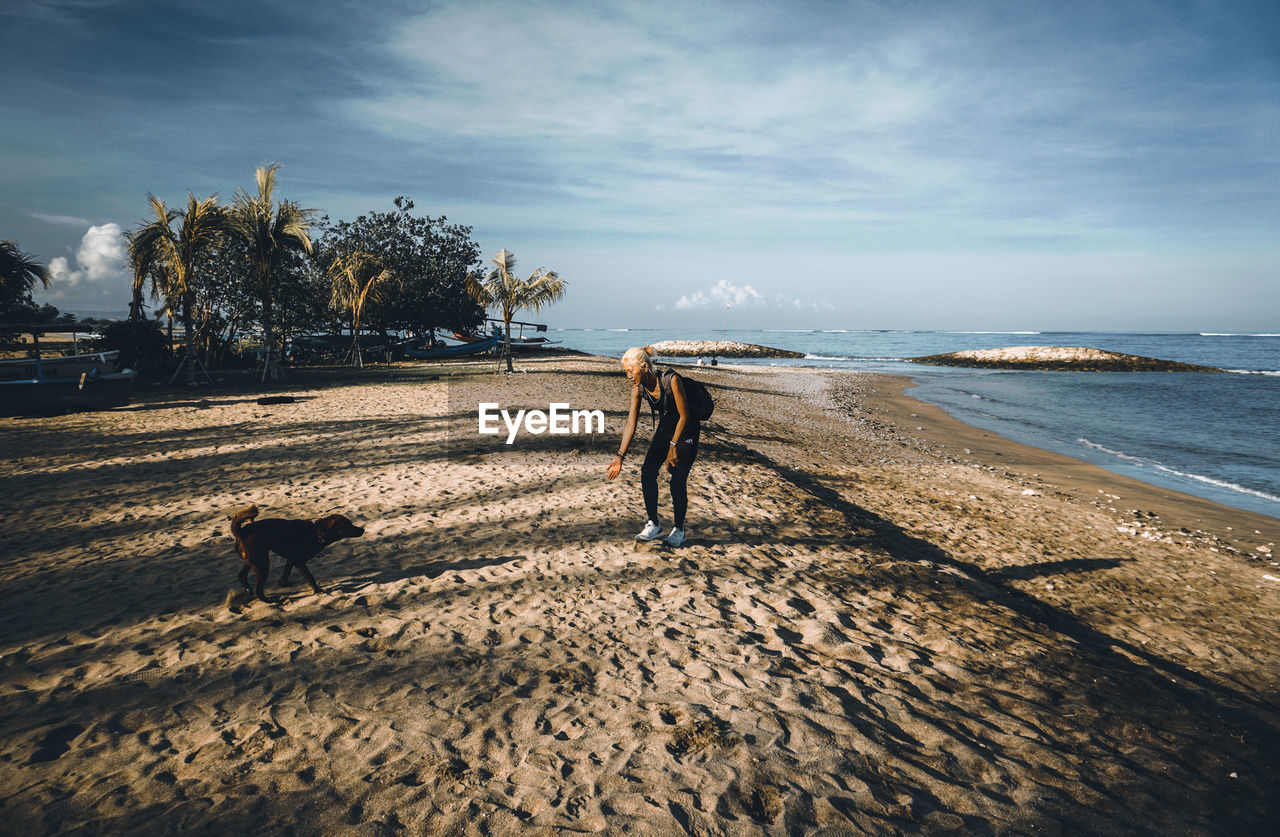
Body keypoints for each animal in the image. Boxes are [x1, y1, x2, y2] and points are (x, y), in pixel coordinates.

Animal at [227, 504, 360, 604]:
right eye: (349, 525)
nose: (362, 529)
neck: (317, 532)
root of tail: (240, 532)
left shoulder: (291, 560)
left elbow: (286, 573)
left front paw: (283, 583)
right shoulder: (299, 562)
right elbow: (310, 578)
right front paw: (319, 591)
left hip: (254, 560)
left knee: (242, 576)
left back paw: (249, 590)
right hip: (262, 564)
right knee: (258, 589)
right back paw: (270, 600)